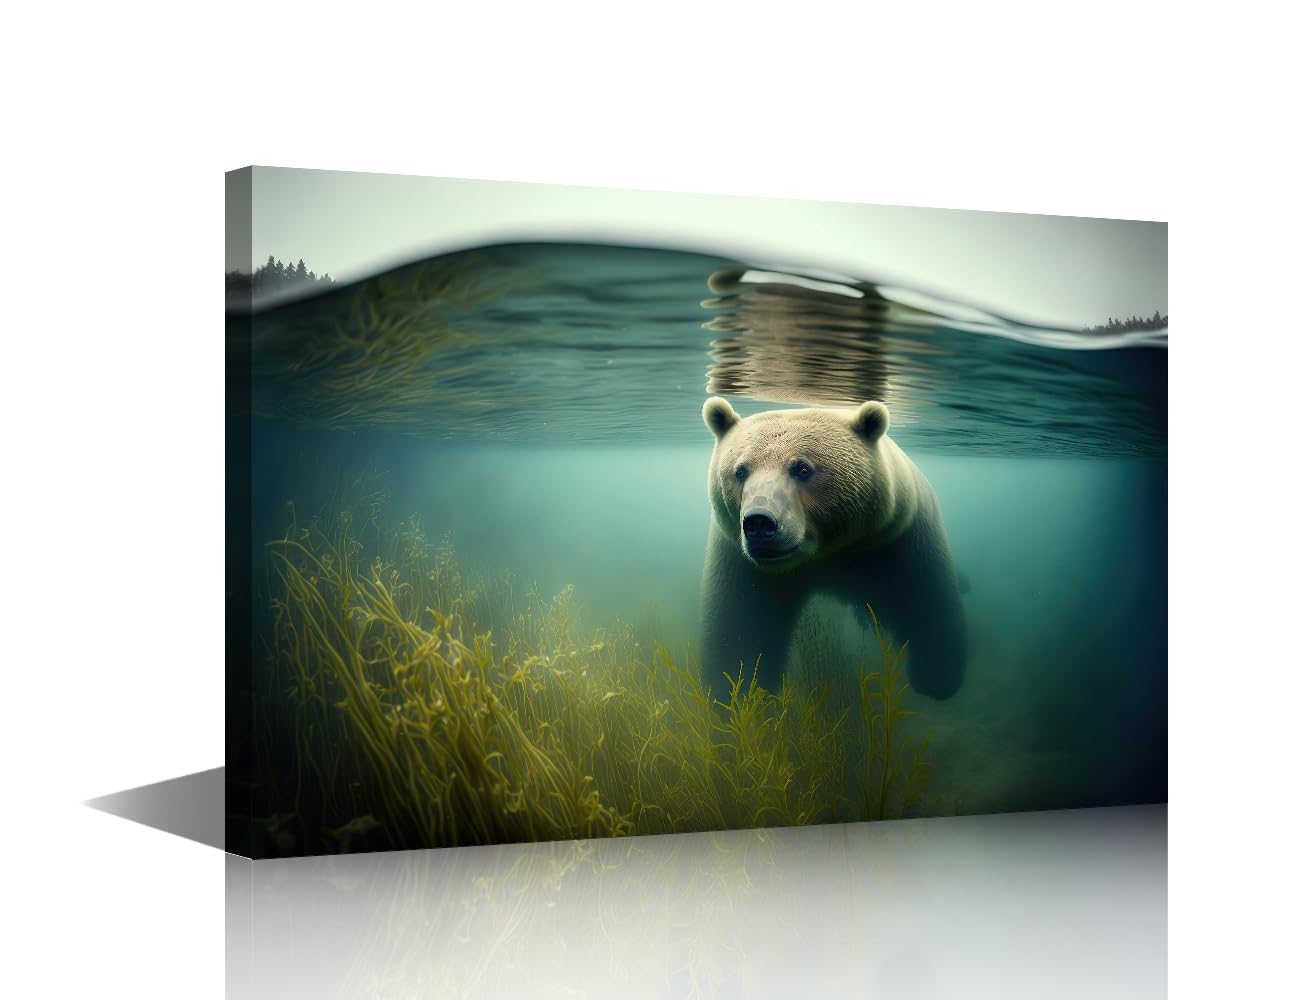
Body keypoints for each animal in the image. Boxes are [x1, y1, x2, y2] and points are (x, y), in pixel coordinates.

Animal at [699, 396, 967, 700]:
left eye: (802, 469)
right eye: (740, 471)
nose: (759, 523)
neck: (829, 552)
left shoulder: (898, 542)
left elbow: (926, 601)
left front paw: (937, 675)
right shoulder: (745, 563)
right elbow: (741, 626)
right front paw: (736, 690)